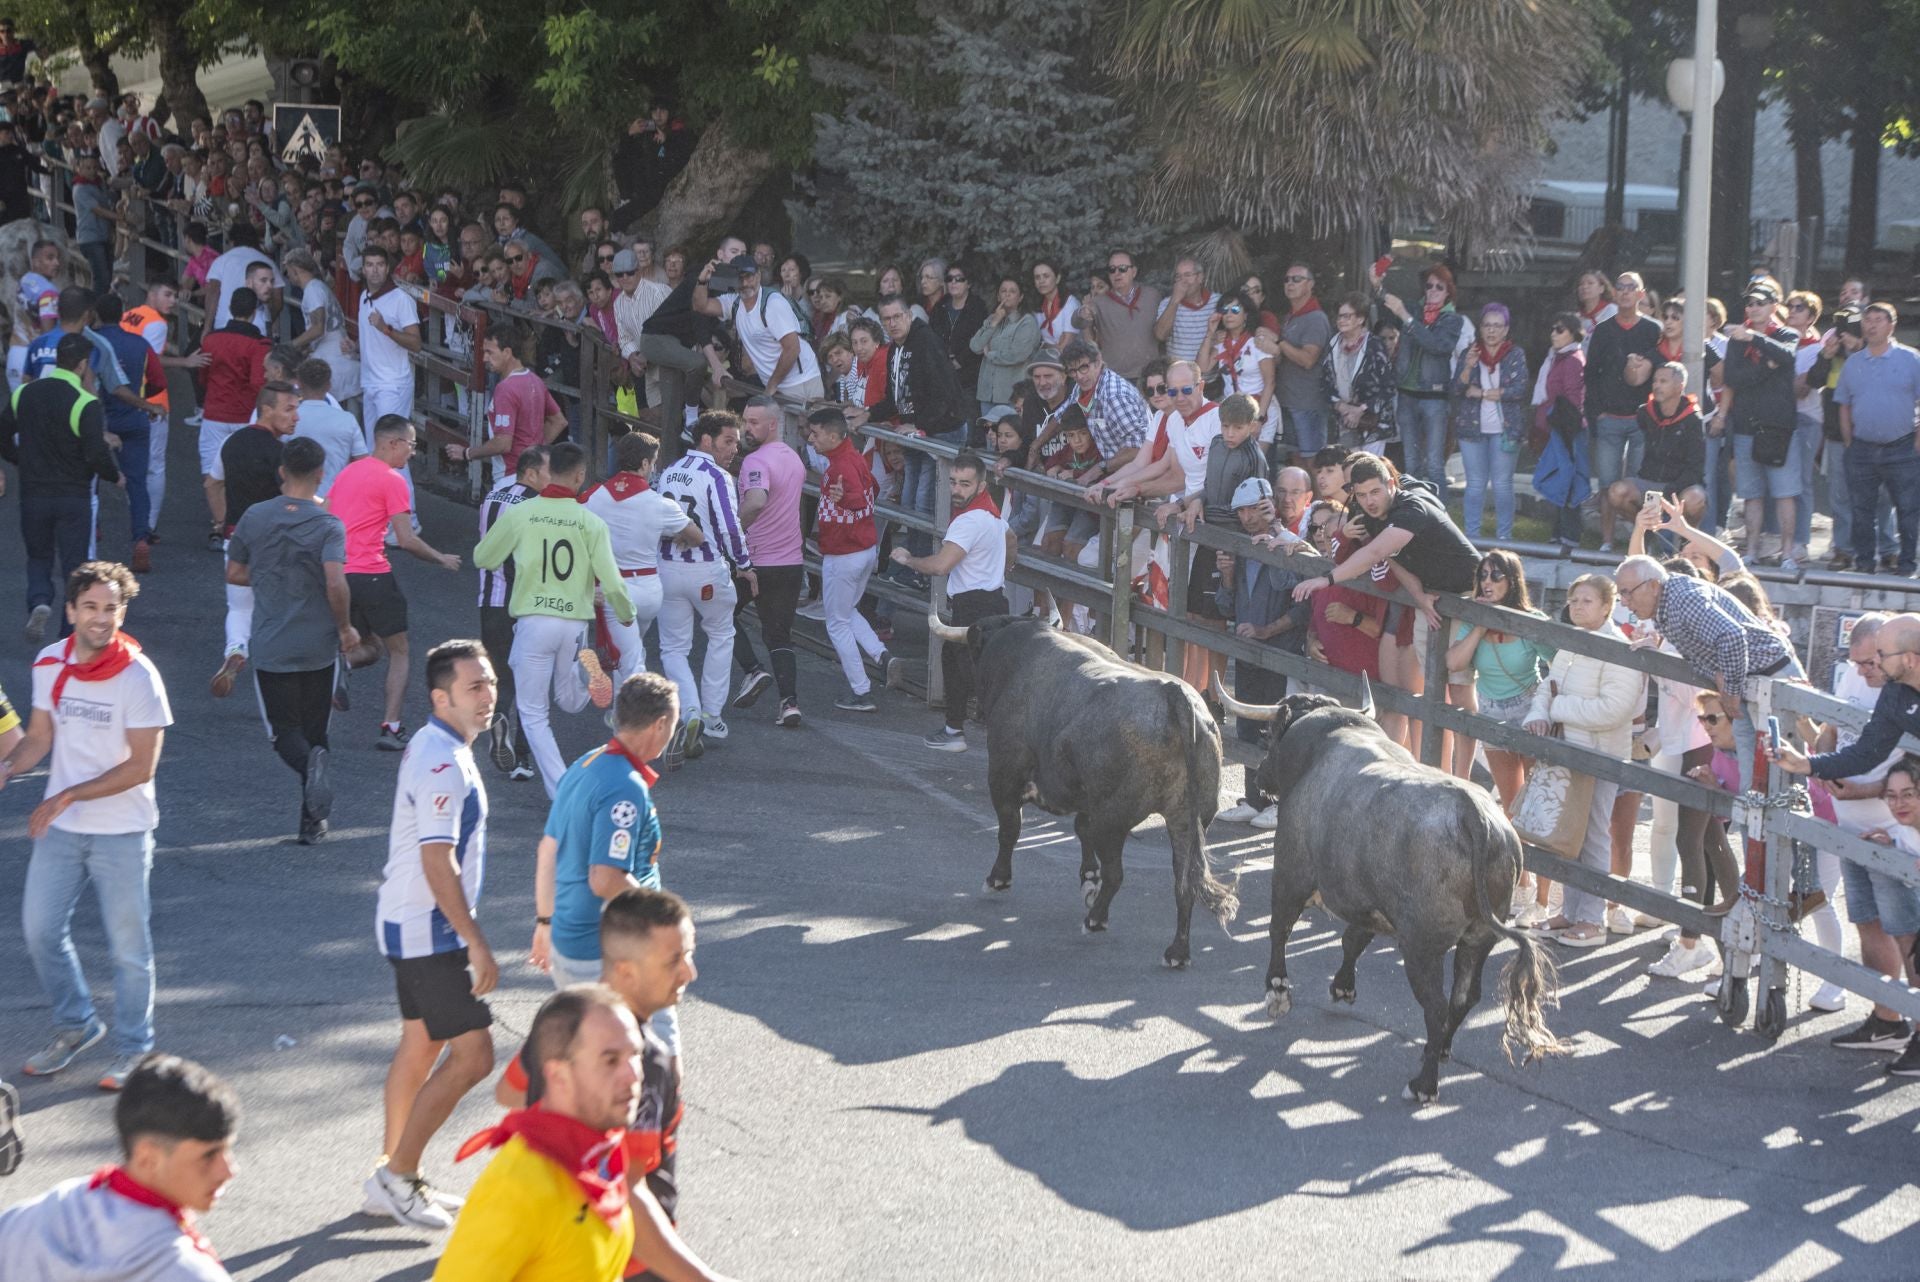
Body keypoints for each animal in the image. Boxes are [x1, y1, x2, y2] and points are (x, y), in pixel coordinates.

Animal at [933, 614, 1244, 967]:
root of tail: (1173, 694)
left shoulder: (1003, 774)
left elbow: (1010, 829)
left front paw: (997, 879)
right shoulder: (1085, 796)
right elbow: (1080, 828)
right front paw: (1088, 878)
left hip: (1115, 820)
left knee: (1118, 873)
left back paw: (1096, 919)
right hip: (1186, 820)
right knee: (1184, 881)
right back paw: (1177, 952)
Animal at [1221, 679, 1566, 1105]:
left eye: (1269, 735)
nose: (1262, 778)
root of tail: (1474, 815)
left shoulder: (1291, 872)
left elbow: (1280, 929)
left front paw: (1277, 993)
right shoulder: (1368, 901)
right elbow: (1352, 940)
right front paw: (1341, 988)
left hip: (1421, 946)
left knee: (1436, 1006)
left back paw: (1424, 1085)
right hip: (1478, 938)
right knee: (1464, 997)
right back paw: (1440, 1050)